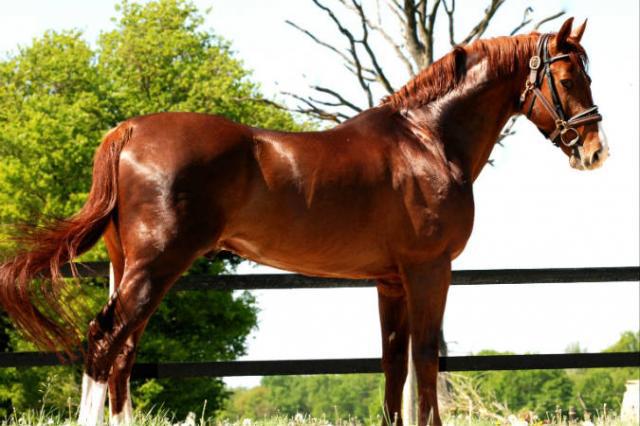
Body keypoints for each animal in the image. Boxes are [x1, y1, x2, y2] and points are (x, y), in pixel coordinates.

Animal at [0, 18, 606, 426]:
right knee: (104, 344)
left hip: (129, 267)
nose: (594, 150)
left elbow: (393, 365)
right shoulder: (429, 271)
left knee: (121, 353)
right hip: (155, 267)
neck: (428, 140)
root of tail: (127, 130)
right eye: (567, 76)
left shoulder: (390, 282)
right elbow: (427, 358)